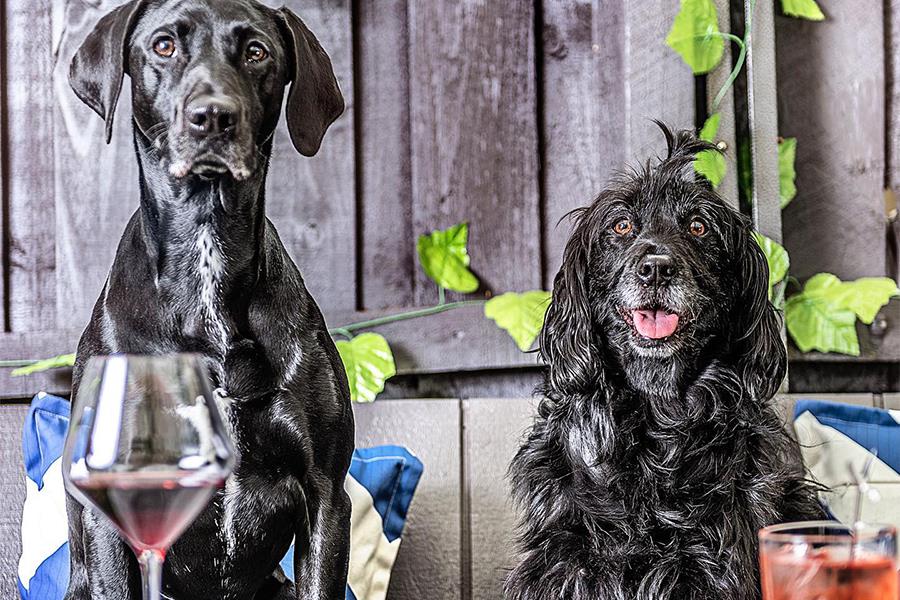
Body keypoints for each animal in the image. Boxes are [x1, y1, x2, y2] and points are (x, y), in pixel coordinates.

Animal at [506, 124, 824, 596]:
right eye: (621, 224)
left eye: (698, 226)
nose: (656, 268)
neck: (659, 414)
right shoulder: (565, 560)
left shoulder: (715, 563)